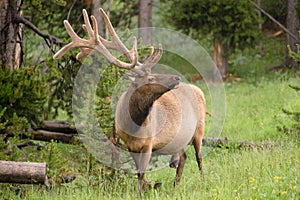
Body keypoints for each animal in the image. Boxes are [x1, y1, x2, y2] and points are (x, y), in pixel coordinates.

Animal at [53, 8, 206, 198]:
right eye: (150, 78)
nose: (176, 77)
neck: (134, 126)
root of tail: (198, 89)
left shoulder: (149, 143)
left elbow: (141, 173)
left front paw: (142, 193)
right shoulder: (129, 145)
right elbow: (138, 172)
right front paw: (143, 190)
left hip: (200, 129)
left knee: (199, 157)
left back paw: (203, 182)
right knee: (183, 157)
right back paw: (175, 186)